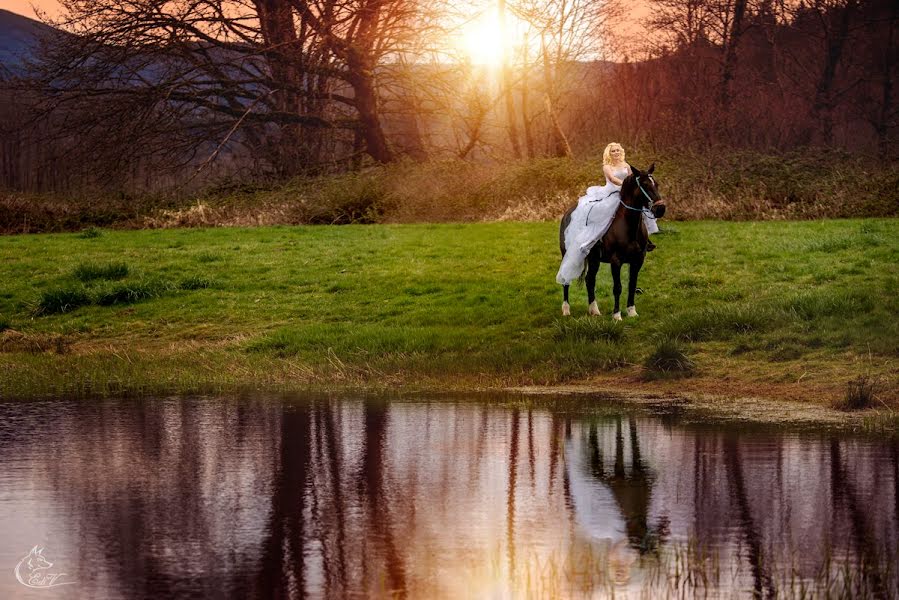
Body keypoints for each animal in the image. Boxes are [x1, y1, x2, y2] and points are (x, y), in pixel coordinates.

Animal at [560, 166, 664, 318]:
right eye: (645, 185)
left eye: (656, 184)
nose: (661, 209)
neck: (628, 226)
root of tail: (567, 213)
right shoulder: (616, 261)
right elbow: (617, 288)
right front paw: (617, 315)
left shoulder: (637, 260)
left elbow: (632, 285)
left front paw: (632, 311)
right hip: (568, 255)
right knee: (566, 279)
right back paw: (566, 309)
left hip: (594, 259)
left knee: (590, 280)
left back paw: (594, 310)